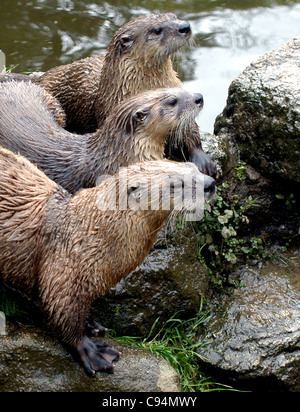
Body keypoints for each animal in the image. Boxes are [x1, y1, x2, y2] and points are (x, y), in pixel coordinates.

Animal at [0, 12, 216, 177]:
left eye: (174, 17)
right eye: (157, 30)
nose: (185, 26)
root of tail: (45, 76)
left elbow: (189, 129)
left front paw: (202, 159)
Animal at [0, 147, 216, 374]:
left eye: (193, 167)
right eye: (175, 184)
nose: (210, 183)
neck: (86, 232)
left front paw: (91, 326)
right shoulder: (65, 273)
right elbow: (64, 316)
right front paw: (91, 350)